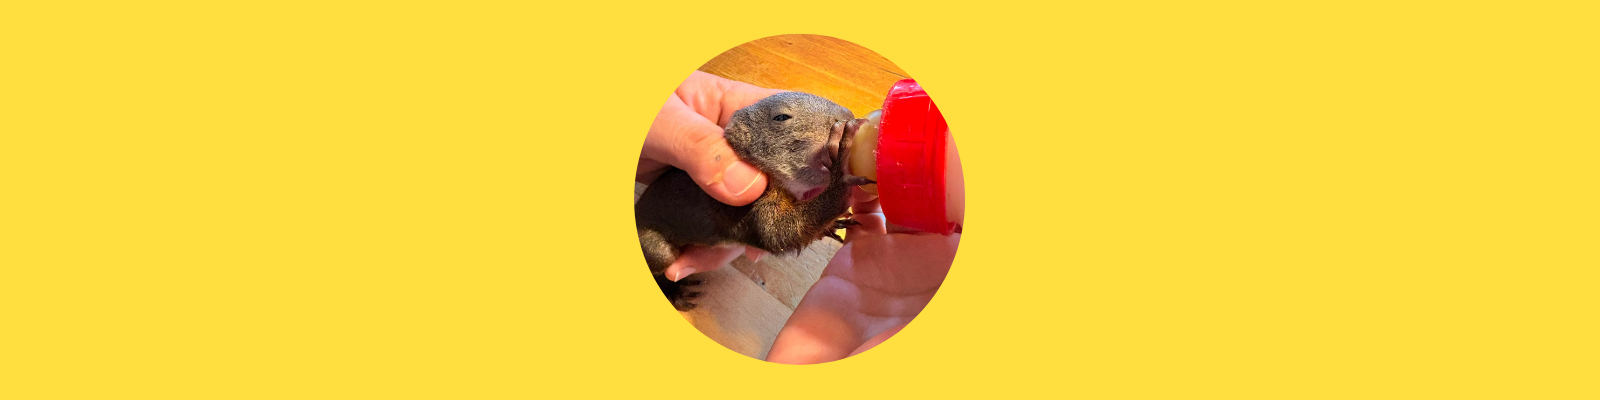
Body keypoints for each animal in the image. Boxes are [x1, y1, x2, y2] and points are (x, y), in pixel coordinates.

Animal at [636, 92, 874, 311]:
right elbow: (776, 232)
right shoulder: (744, 207)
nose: (847, 116)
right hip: (656, 247)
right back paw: (673, 289)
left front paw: (831, 225)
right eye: (781, 117)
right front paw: (841, 164)